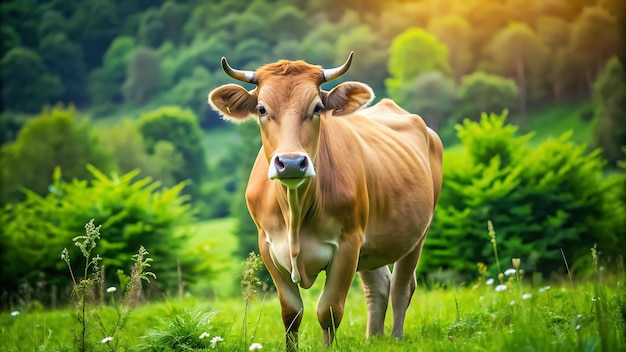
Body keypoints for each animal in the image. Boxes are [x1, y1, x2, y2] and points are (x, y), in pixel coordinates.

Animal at [207, 53, 442, 352]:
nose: (291, 162)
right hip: (372, 244)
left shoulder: (348, 244)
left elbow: (328, 310)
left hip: (417, 234)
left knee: (401, 287)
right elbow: (291, 313)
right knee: (379, 286)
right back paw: (373, 338)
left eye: (317, 107)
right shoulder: (267, 246)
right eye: (261, 109)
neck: (295, 212)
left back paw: (396, 337)